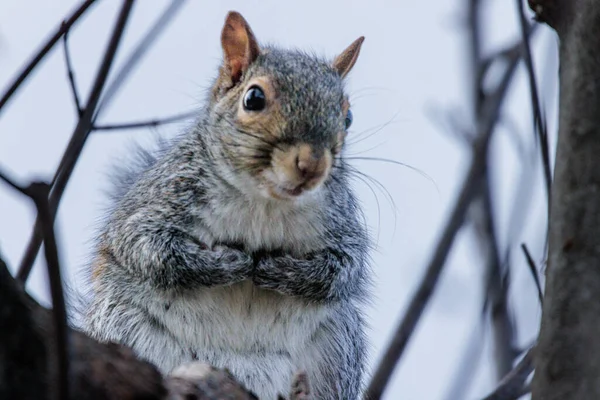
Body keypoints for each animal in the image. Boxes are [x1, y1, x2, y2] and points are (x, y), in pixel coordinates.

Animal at [84, 10, 372, 400]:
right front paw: (227, 264)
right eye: (253, 98)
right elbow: (149, 249)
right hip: (126, 327)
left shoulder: (341, 227)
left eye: (348, 117)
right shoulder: (158, 202)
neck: (264, 200)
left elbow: (342, 270)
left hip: (336, 351)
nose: (312, 165)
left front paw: (280, 270)